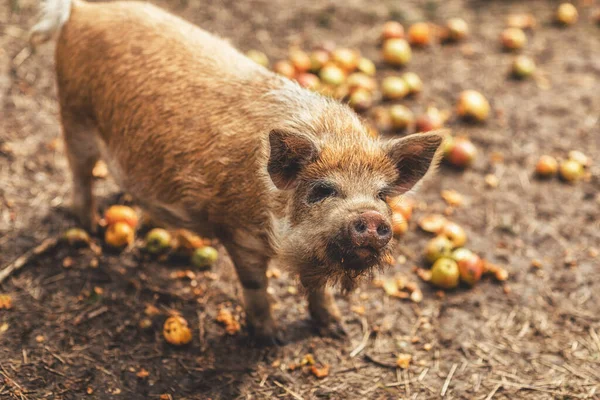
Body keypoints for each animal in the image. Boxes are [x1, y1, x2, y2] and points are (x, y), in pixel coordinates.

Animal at [32, 0, 446, 344]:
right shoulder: (238, 234)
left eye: (382, 195)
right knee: (79, 174)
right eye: (322, 190)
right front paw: (271, 340)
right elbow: (255, 286)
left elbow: (318, 289)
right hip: (73, 115)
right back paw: (90, 228)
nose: (372, 218)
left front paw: (337, 331)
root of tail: (82, 10)